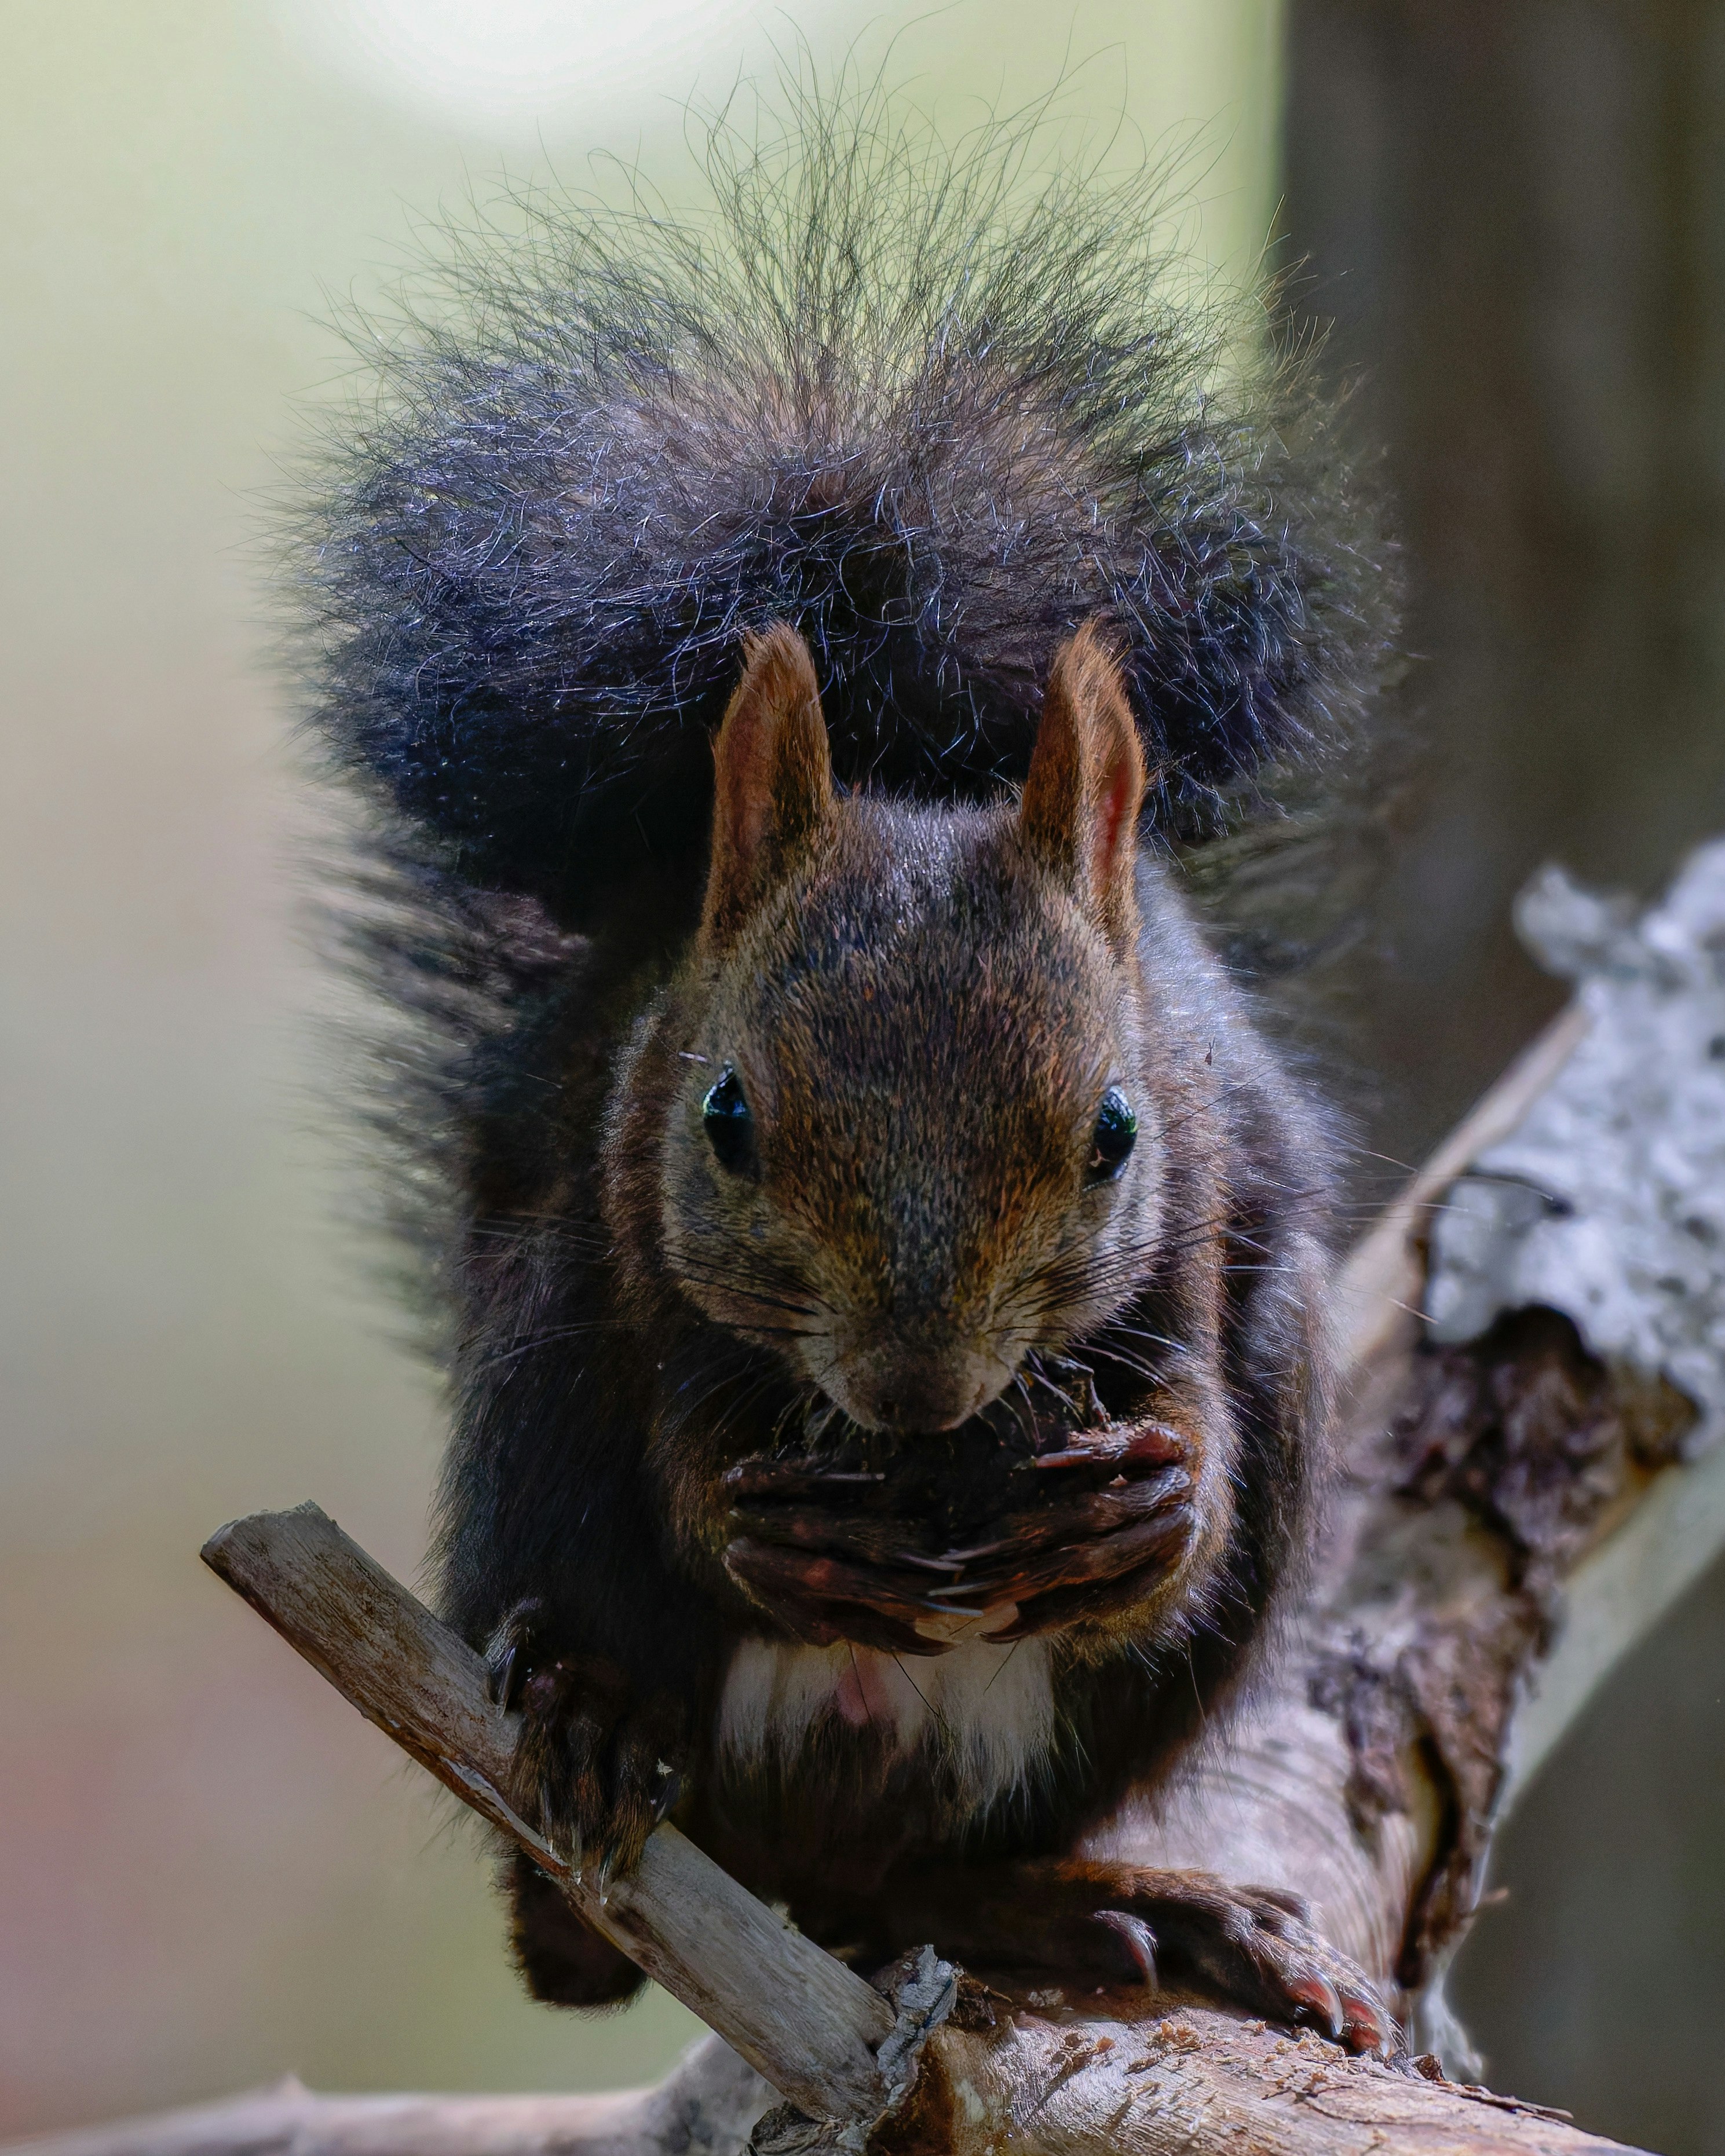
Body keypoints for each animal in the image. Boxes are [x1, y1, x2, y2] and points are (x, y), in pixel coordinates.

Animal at [299, 96, 1398, 2055]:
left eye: (1114, 1130)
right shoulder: (621, 1191)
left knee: (903, 1880)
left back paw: (1122, 1907)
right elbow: (679, 1442)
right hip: (529, 1410)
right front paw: (755, 1525)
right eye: (723, 1119)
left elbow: (1184, 1419)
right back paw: (596, 1718)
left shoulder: (1209, 1202)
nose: (911, 1389)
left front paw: (1155, 1503)